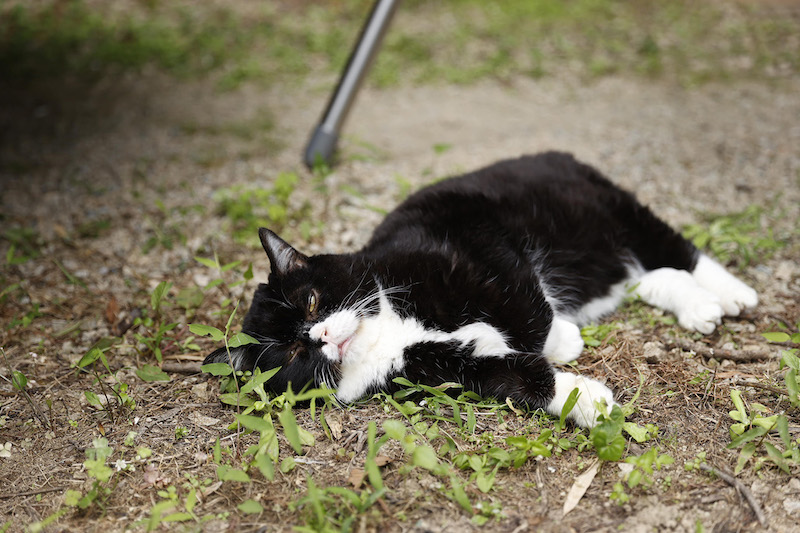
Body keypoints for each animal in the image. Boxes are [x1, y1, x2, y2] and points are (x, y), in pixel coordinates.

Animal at [205, 152, 756, 426]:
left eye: (312, 302)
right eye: (293, 353)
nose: (318, 336)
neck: (389, 329)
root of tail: (557, 153)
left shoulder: (471, 243)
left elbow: (529, 314)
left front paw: (561, 340)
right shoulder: (438, 371)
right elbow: (509, 377)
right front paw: (585, 400)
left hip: (607, 207)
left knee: (673, 249)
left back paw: (732, 293)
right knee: (648, 276)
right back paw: (698, 305)